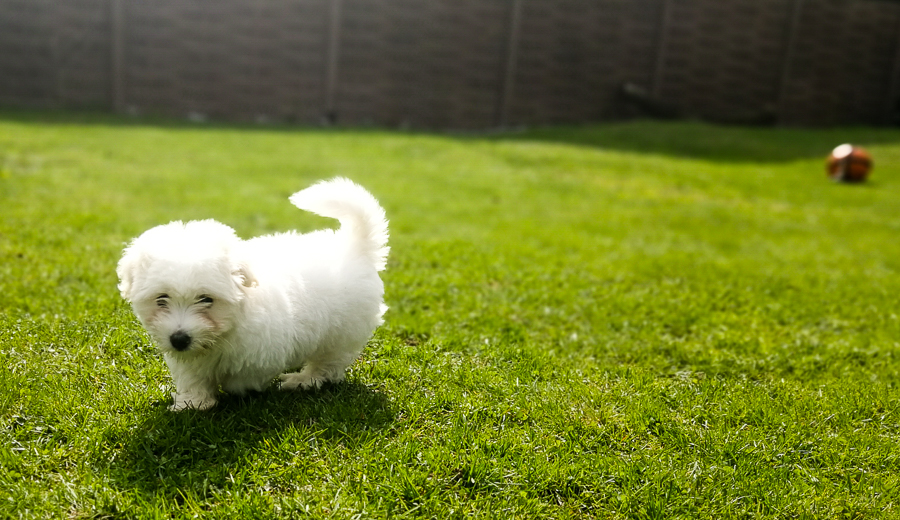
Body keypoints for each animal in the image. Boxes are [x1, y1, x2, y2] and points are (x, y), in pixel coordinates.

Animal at [116, 179, 386, 410]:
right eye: (161, 299)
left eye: (206, 299)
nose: (179, 339)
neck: (225, 330)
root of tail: (355, 247)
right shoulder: (190, 358)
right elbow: (193, 377)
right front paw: (193, 402)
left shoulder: (267, 351)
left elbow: (244, 378)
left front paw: (233, 388)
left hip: (341, 333)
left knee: (328, 365)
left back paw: (303, 379)